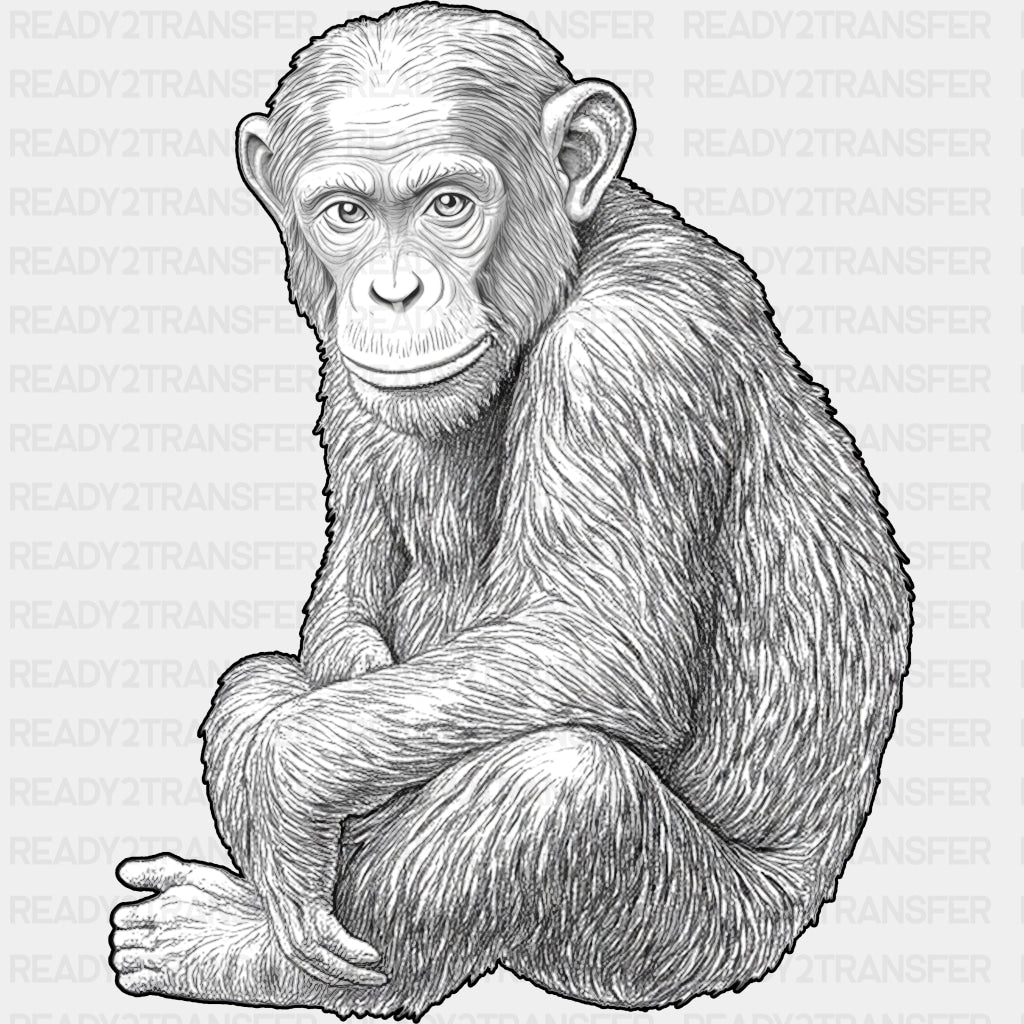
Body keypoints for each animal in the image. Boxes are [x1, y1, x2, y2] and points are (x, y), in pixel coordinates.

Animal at [109, 3, 913, 1018]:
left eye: (450, 205)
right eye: (347, 214)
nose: (394, 290)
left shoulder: (627, 357)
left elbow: (601, 639)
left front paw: (289, 783)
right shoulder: (348, 371)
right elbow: (350, 589)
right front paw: (329, 717)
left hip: (687, 941)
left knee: (562, 786)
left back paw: (244, 950)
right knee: (254, 681)